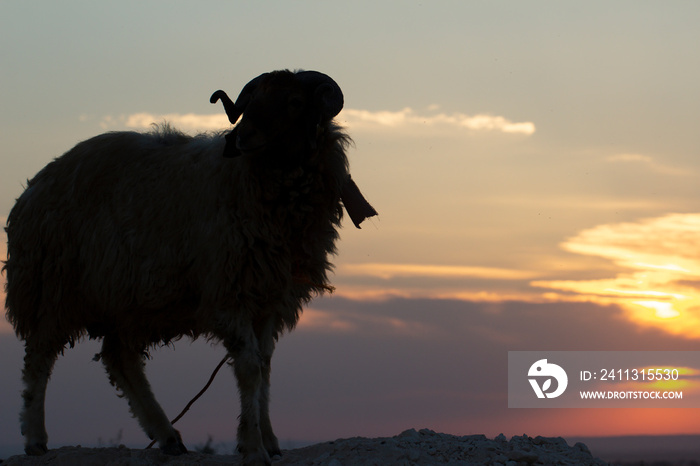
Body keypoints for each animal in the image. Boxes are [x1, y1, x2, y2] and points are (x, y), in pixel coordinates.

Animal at [4, 70, 378, 466]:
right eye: (252, 101)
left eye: (293, 102)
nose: (241, 137)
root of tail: (34, 185)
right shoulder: (228, 292)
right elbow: (249, 369)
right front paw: (253, 447)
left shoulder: (269, 298)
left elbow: (265, 367)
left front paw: (270, 441)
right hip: (53, 287)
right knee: (39, 358)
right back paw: (35, 438)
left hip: (124, 302)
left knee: (120, 360)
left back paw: (167, 436)